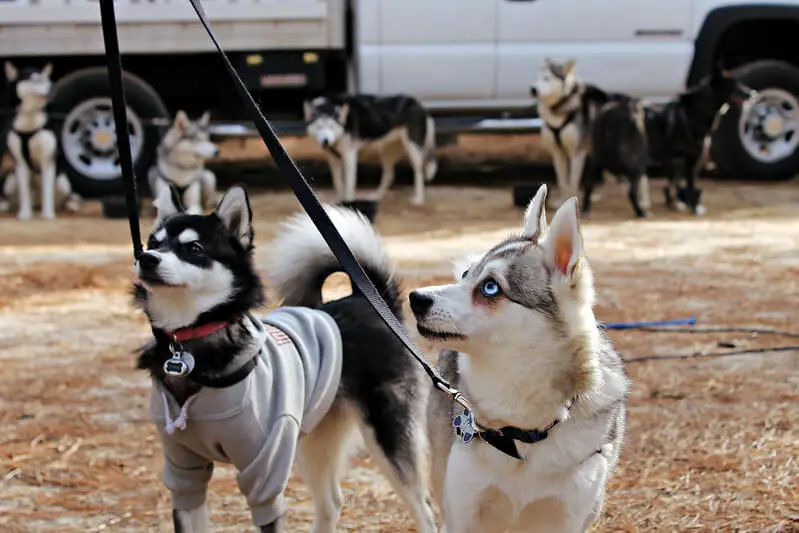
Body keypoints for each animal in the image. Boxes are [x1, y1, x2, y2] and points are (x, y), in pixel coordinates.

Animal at [0, 61, 80, 219]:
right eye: (35, 80)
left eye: (47, 80)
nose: (53, 87)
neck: (29, 119)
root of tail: (36, 203)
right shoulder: (20, 162)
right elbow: (24, 192)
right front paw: (24, 214)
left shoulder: (47, 159)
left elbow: (47, 191)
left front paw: (48, 215)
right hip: (10, 180)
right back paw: (6, 206)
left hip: (62, 182)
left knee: (68, 196)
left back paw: (71, 205)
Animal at [304, 93, 438, 204]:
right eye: (319, 127)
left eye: (331, 126)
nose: (326, 141)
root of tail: (417, 102)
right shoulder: (333, 158)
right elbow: (338, 182)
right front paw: (338, 200)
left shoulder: (350, 156)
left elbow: (349, 184)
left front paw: (348, 202)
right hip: (386, 151)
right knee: (389, 174)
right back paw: (378, 195)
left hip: (413, 149)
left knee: (418, 172)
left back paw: (419, 199)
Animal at [410, 184, 628, 532]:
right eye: (467, 274)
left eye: (490, 288)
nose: (416, 298)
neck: (522, 431)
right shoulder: (464, 510)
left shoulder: (568, 518)